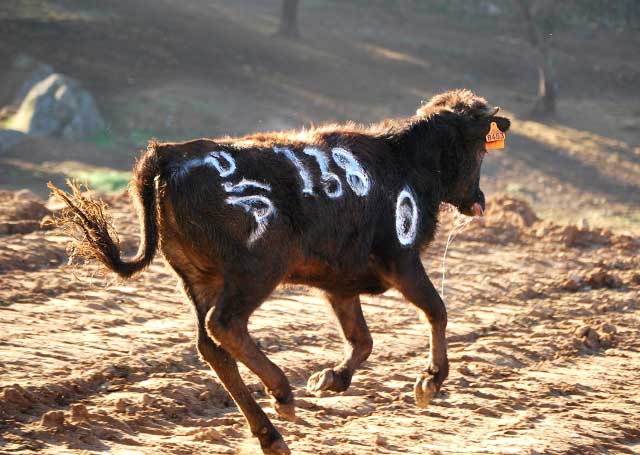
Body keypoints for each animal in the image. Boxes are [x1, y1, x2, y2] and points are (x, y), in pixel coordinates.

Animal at [50, 90, 510, 455]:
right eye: (480, 150)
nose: (480, 200)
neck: (405, 163)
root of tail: (170, 153)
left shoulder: (338, 283)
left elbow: (362, 339)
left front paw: (332, 379)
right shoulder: (401, 260)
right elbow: (436, 311)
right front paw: (431, 380)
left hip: (199, 281)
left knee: (211, 347)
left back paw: (271, 434)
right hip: (255, 271)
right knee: (225, 325)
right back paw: (282, 393)